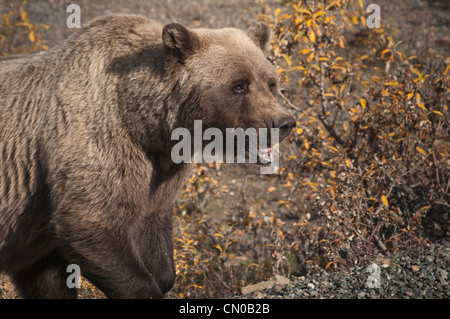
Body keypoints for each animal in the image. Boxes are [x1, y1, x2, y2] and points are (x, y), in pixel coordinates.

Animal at [0, 14, 296, 300]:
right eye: (238, 86)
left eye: (271, 82)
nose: (284, 123)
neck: (143, 123)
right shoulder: (100, 143)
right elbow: (90, 222)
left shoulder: (161, 169)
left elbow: (153, 227)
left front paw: (161, 275)